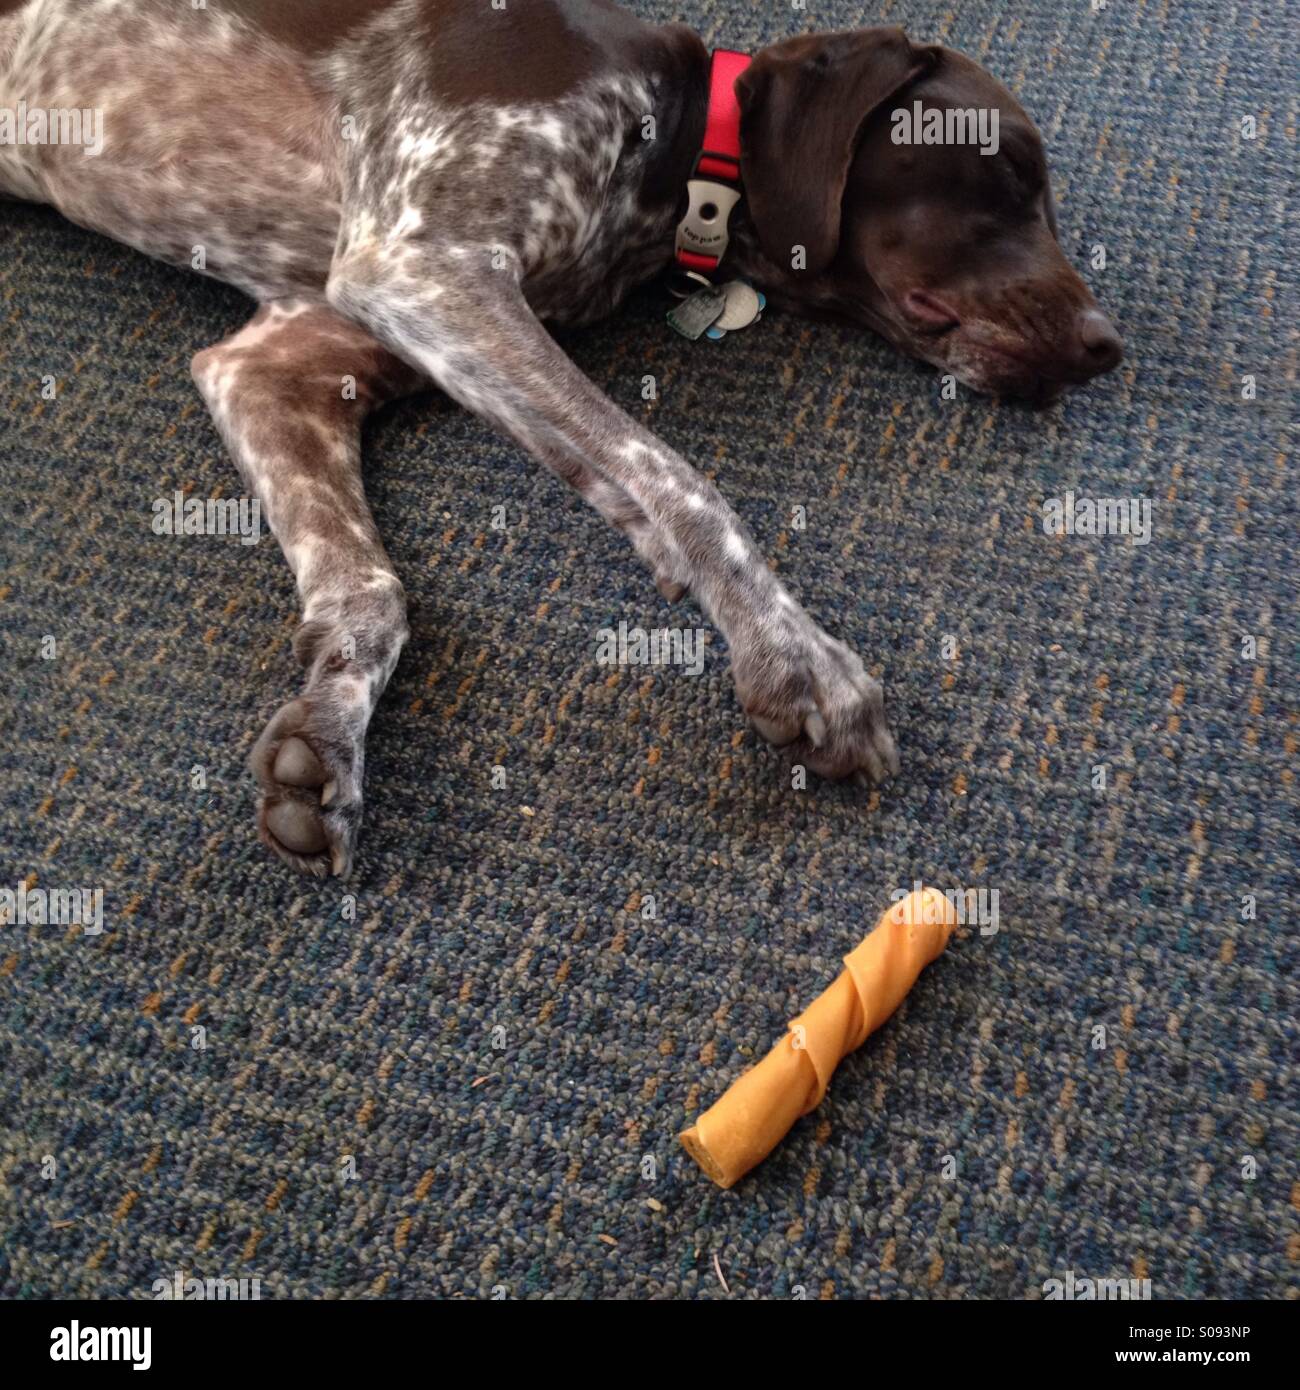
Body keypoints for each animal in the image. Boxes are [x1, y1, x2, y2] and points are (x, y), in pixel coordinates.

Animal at [0, 0, 1117, 872]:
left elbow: (373, 591)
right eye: (1010, 171)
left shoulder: (282, 365)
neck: (679, 146)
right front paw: (795, 655)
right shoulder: (421, 266)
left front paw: (332, 728)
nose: (1107, 347)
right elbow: (669, 472)